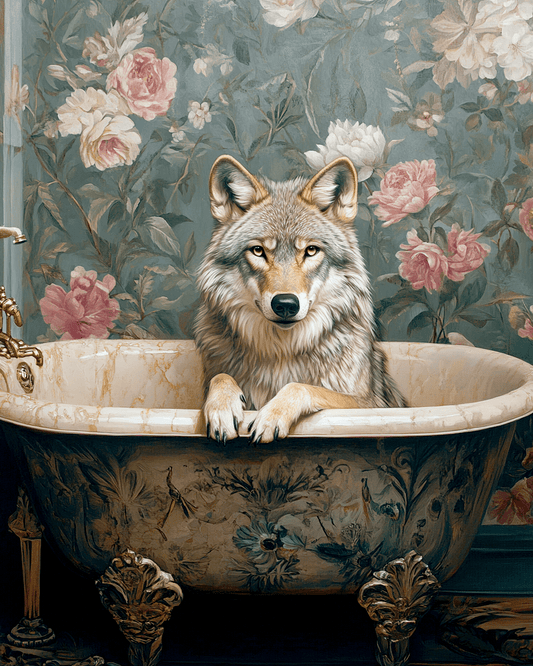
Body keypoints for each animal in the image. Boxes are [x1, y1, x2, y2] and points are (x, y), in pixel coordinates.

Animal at [194, 154, 406, 444]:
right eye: (258, 251)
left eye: (311, 250)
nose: (285, 304)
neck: (282, 352)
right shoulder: (212, 376)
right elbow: (221, 377)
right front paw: (222, 409)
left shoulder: (369, 405)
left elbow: (301, 387)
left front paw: (270, 416)